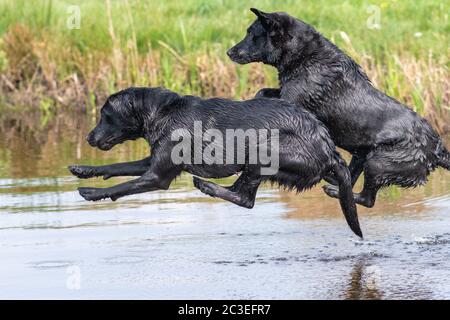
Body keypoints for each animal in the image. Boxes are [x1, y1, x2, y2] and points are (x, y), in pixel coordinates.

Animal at [67, 87, 362, 238]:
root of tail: (328, 149)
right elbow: (117, 168)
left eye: (106, 115)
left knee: (245, 198)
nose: (89, 137)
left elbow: (121, 187)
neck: (162, 112)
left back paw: (206, 186)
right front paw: (83, 169)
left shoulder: (157, 177)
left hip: (264, 148)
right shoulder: (153, 160)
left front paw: (92, 192)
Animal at [229, 8, 450, 208]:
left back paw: (332, 190)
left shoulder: (292, 100)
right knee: (350, 179)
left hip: (378, 162)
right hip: (363, 155)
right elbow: (262, 91)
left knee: (366, 199)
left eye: (252, 34)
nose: (229, 52)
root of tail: (436, 147)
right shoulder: (283, 93)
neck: (306, 56)